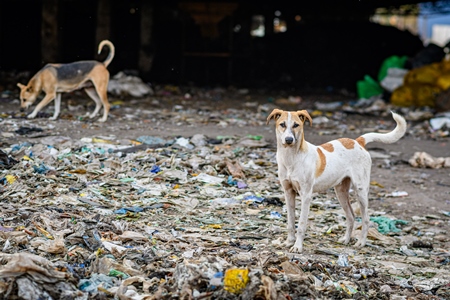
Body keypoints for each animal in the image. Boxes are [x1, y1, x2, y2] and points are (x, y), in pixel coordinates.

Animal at [268, 109, 408, 252]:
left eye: (296, 125)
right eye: (282, 124)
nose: (289, 140)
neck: (291, 158)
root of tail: (357, 141)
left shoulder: (306, 195)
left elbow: (301, 224)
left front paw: (297, 246)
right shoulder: (288, 192)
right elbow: (290, 222)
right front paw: (288, 242)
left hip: (361, 191)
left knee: (366, 219)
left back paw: (361, 242)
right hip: (340, 192)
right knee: (351, 216)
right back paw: (346, 240)